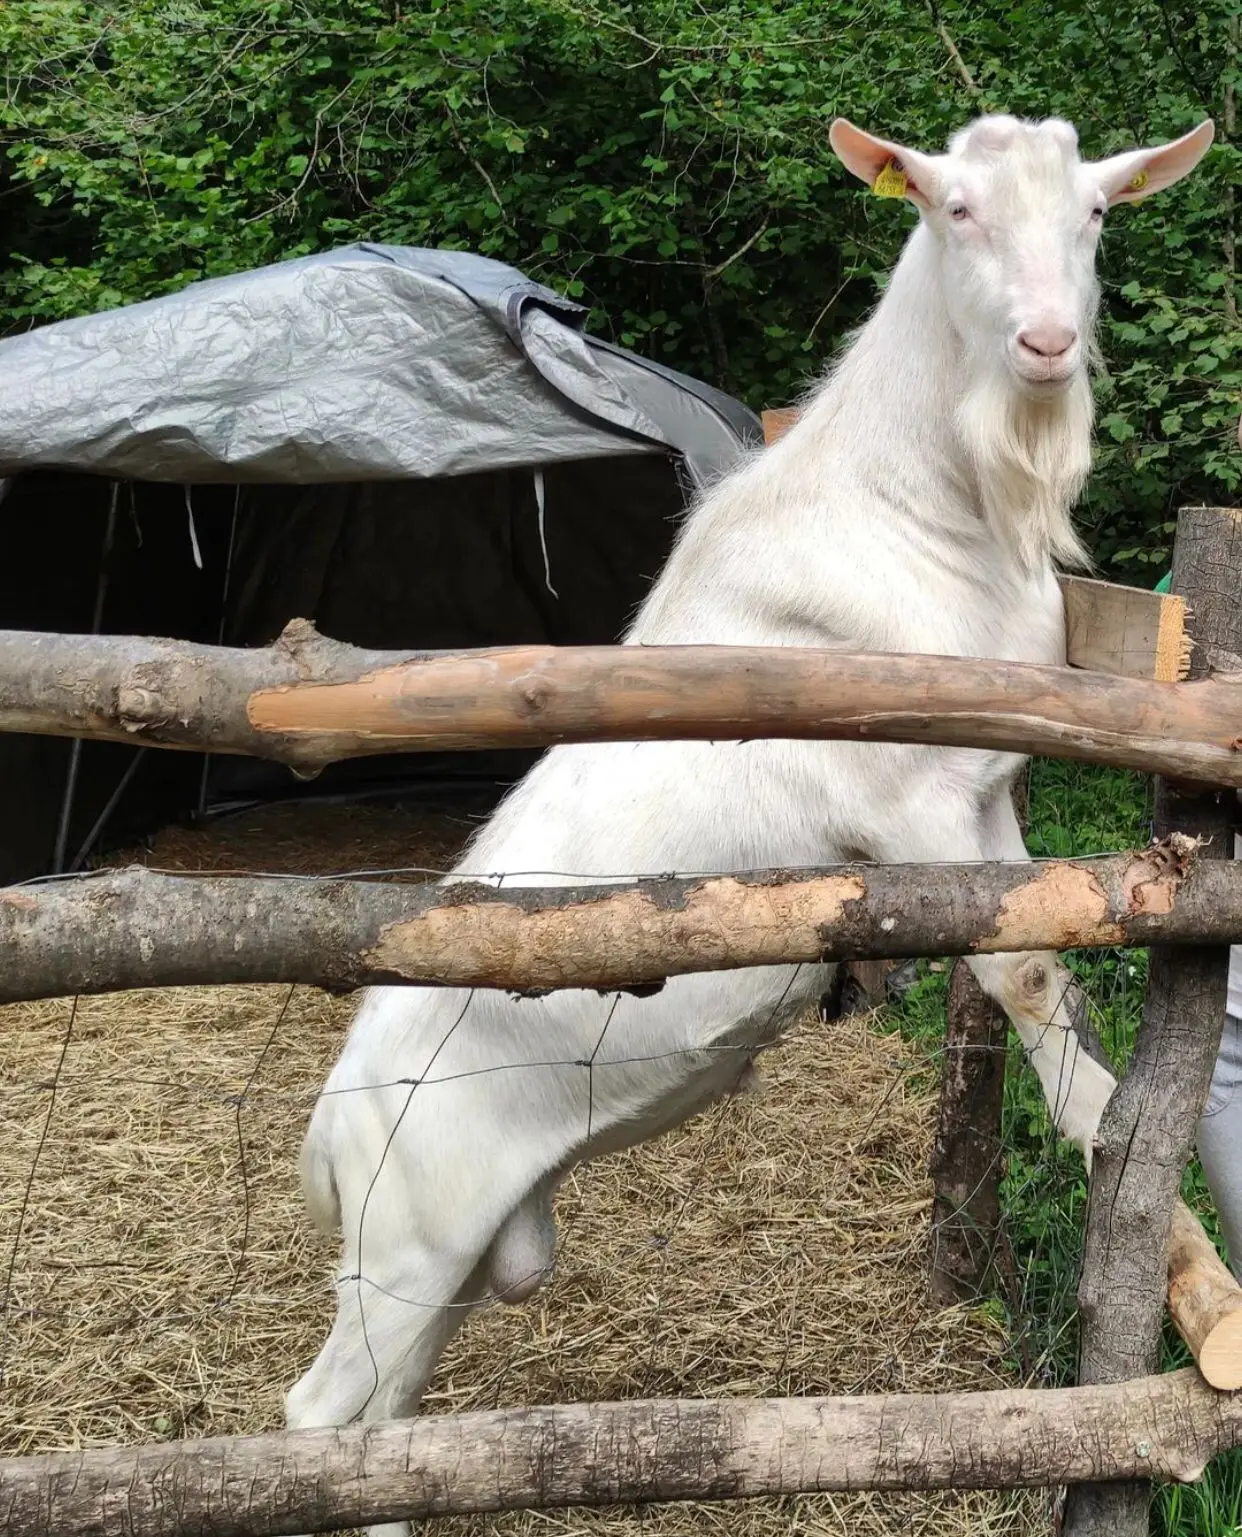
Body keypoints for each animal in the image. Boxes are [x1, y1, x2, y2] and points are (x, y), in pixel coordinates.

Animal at [287, 112, 1213, 1537]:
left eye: (1098, 213)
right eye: (951, 206)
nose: (1048, 343)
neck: (930, 511)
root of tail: (329, 1131)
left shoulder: (990, 791)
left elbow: (1041, 948)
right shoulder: (910, 803)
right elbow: (1023, 967)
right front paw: (1112, 1134)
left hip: (450, 1255)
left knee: (391, 1423)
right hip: (403, 1237)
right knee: (319, 1418)